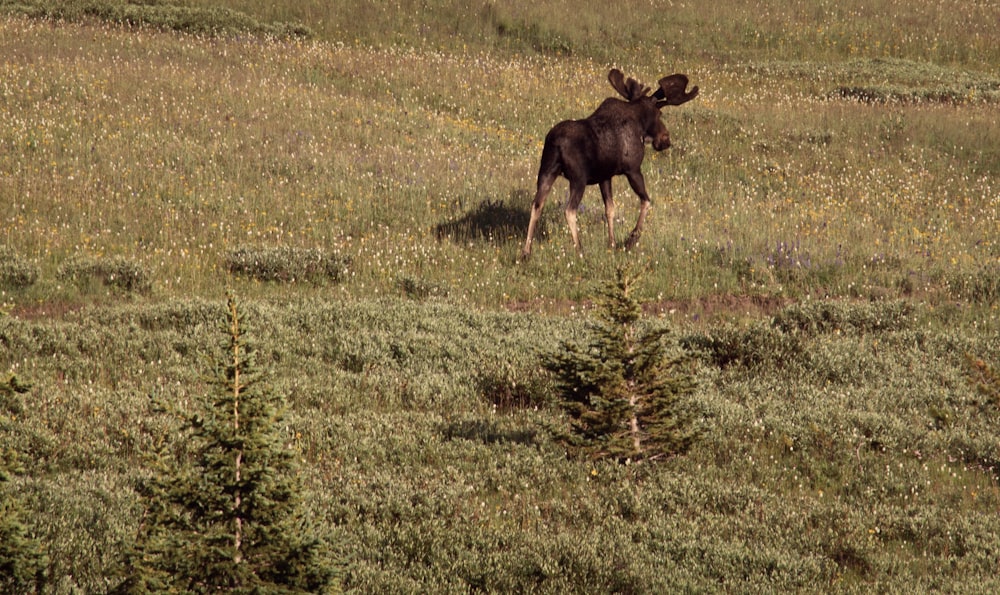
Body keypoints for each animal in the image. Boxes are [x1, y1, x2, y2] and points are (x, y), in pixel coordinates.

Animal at [524, 68, 696, 260]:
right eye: (660, 114)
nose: (665, 140)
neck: (640, 123)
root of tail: (556, 143)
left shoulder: (605, 176)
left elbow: (610, 209)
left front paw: (612, 244)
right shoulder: (633, 169)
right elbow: (646, 201)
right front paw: (631, 238)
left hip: (546, 171)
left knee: (536, 205)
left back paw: (526, 252)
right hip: (578, 178)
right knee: (569, 210)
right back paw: (580, 250)